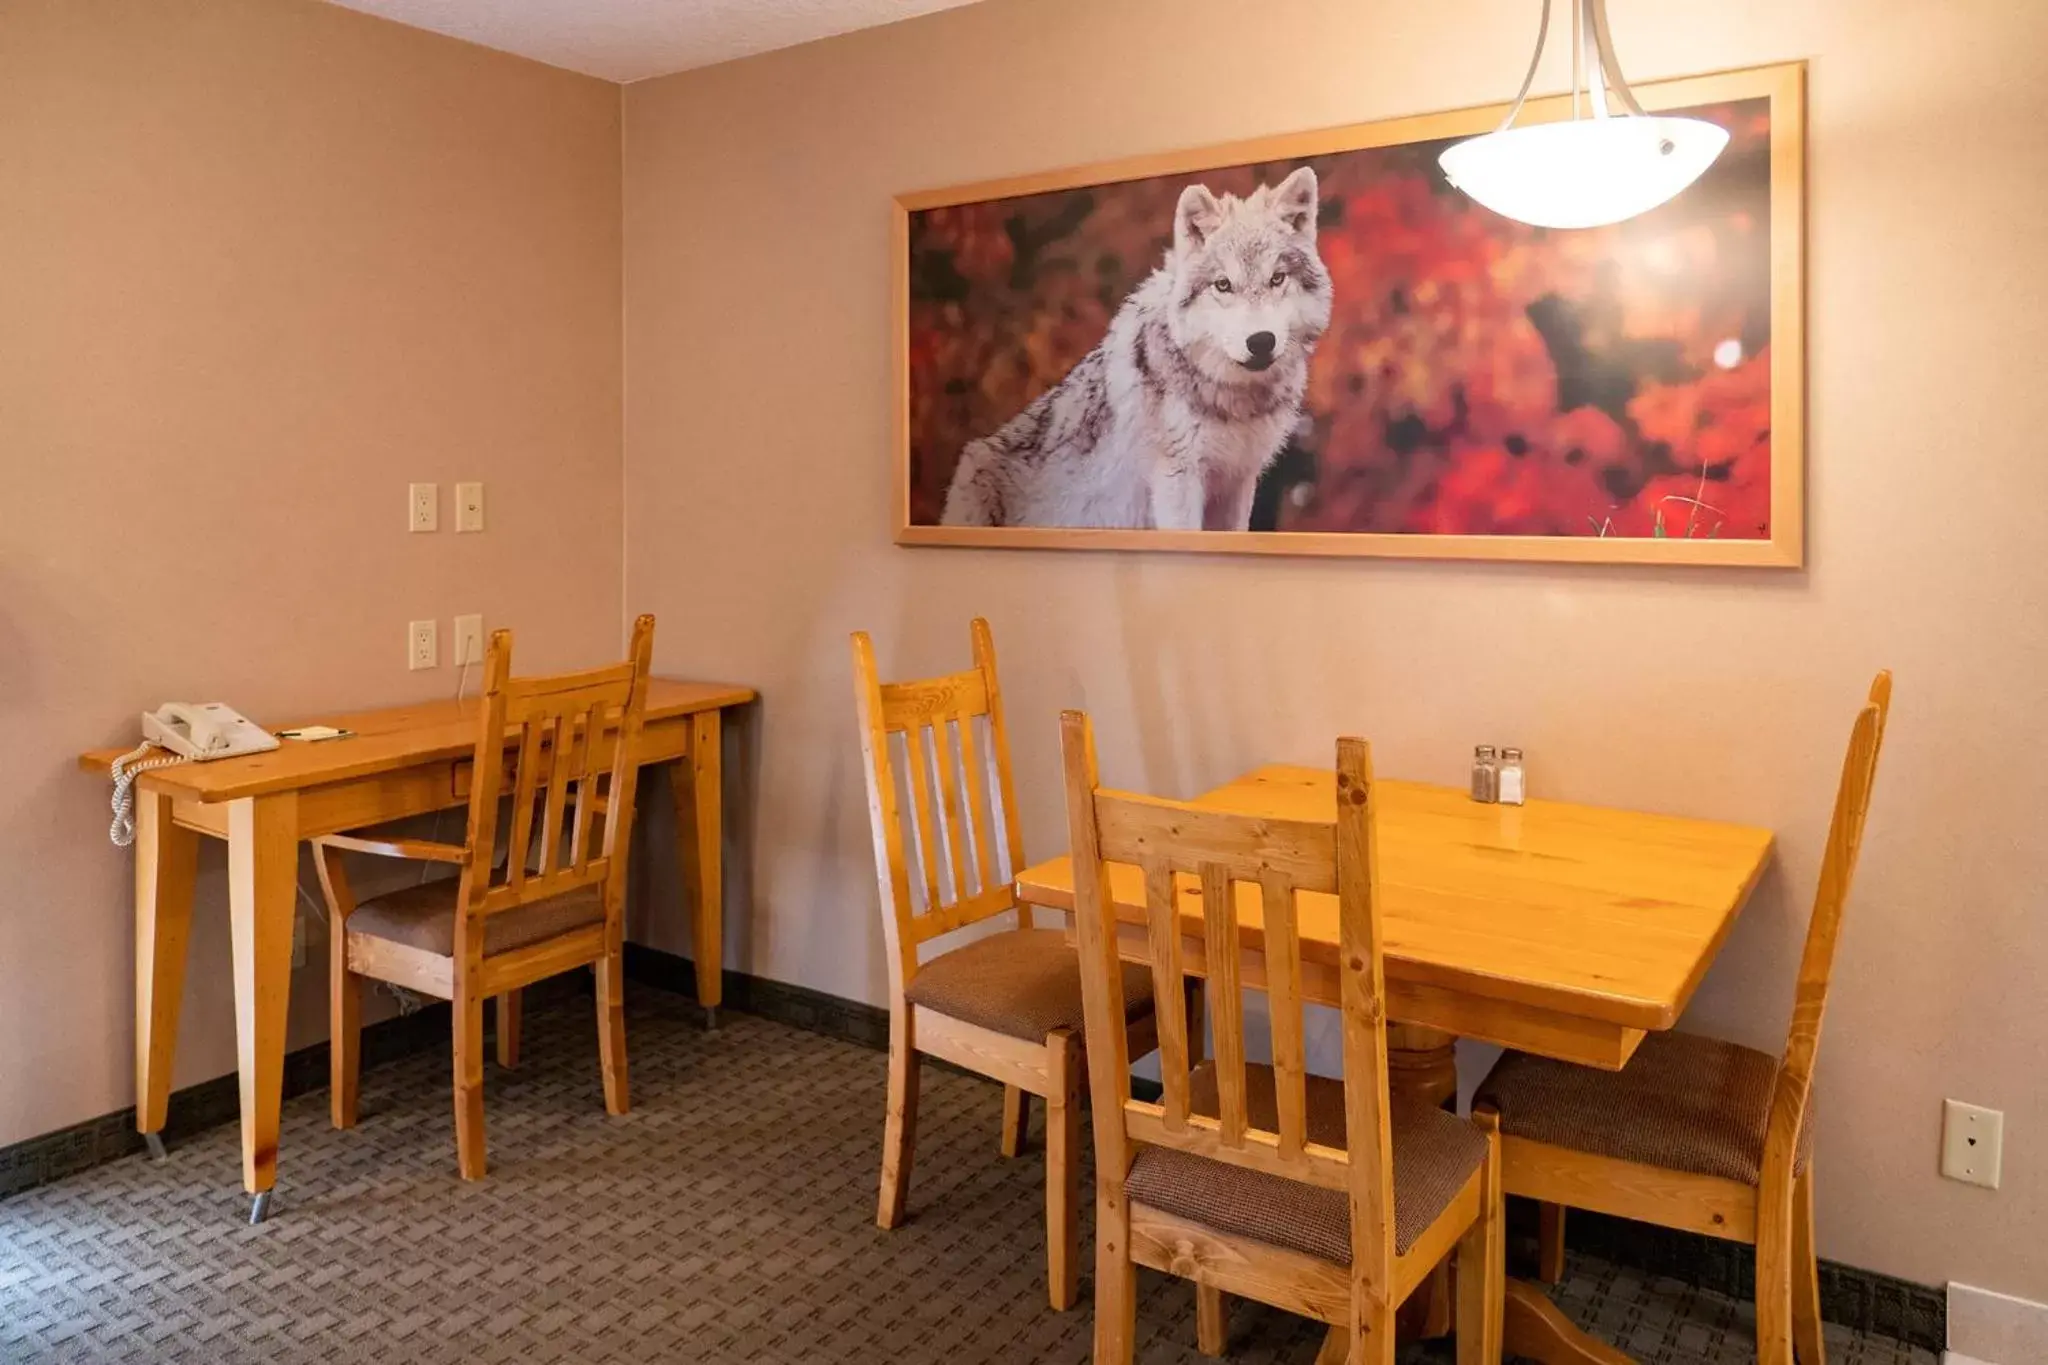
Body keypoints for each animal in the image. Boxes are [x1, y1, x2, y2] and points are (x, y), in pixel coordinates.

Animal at [937, 165, 1327, 532]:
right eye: (1223, 285)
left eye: (1277, 279)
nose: (1261, 341)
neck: (1233, 400)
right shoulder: (1178, 477)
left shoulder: (1238, 481)